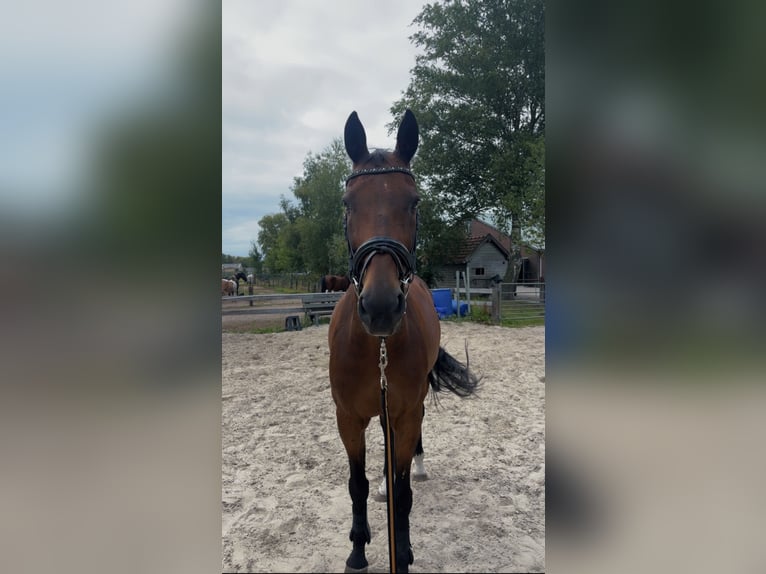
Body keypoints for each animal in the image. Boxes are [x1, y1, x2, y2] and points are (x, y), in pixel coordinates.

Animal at [328, 109, 480, 573]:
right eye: (348, 203)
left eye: (414, 202)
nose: (380, 307)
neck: (375, 346)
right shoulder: (348, 418)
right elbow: (356, 484)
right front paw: (358, 550)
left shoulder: (408, 413)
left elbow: (404, 492)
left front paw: (405, 550)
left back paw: (419, 467)